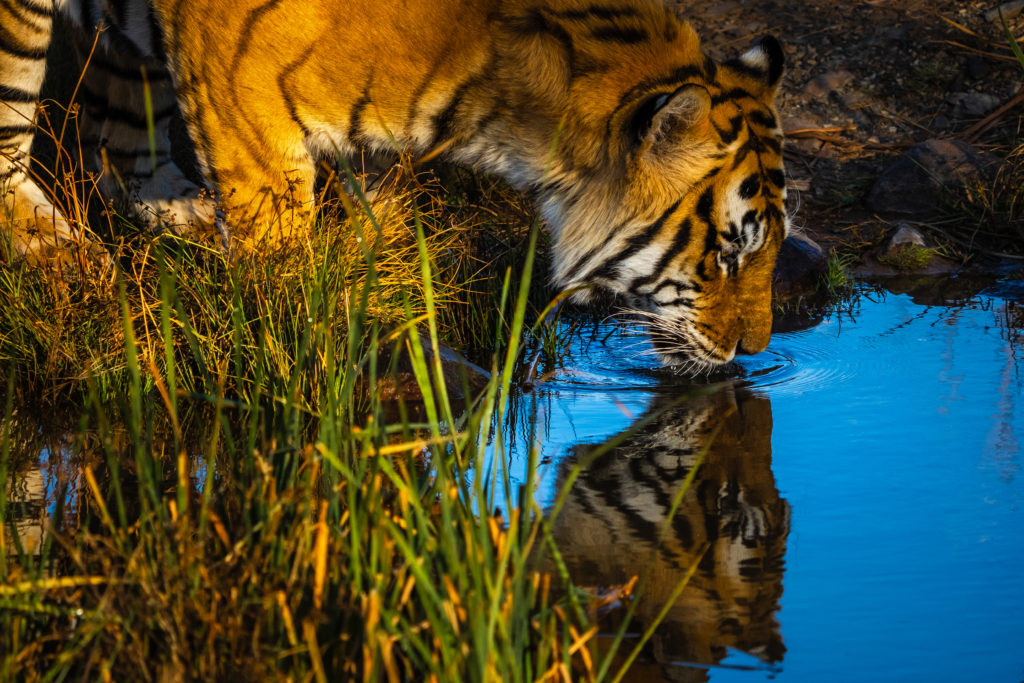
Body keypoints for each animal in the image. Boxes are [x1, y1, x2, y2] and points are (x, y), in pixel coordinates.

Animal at [0, 0, 786, 368]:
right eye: (726, 255)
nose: (755, 354)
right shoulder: (238, 103)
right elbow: (276, 252)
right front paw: (292, 344)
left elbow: (373, 219)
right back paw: (63, 257)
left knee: (115, 143)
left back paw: (179, 215)